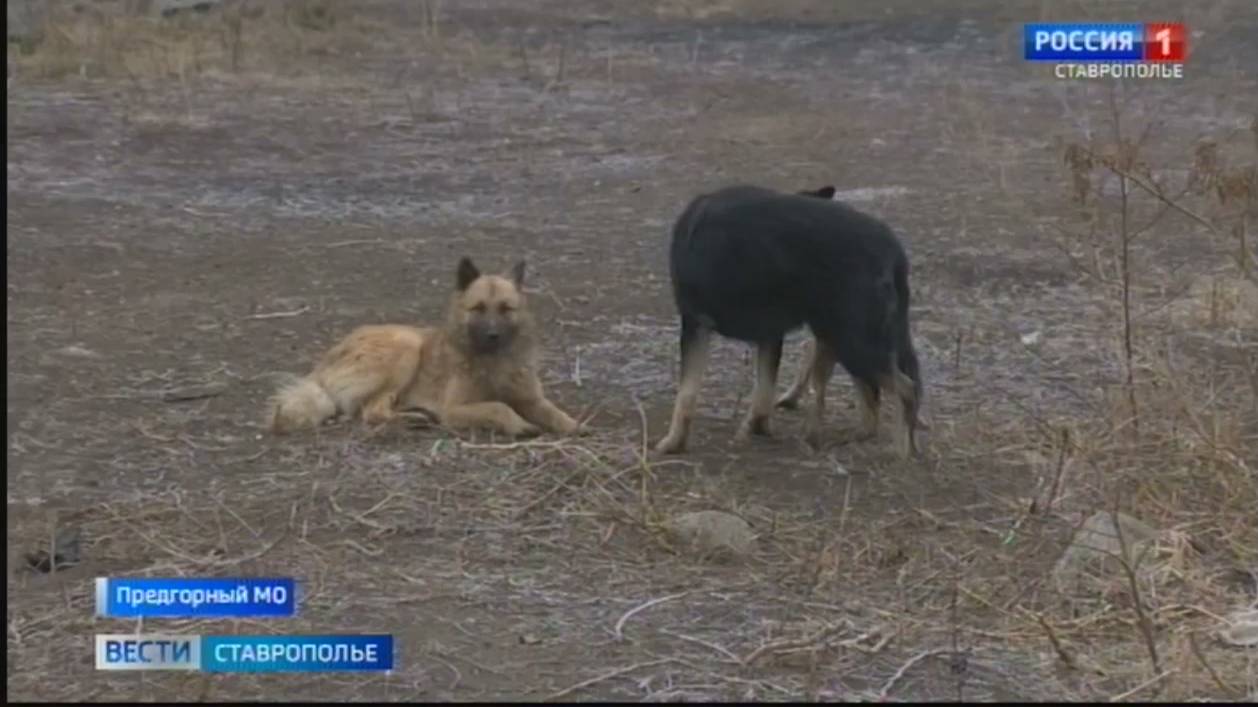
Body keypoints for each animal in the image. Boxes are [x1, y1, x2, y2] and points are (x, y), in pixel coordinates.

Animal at [269, 255, 578, 437]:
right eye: (478, 308)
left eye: (505, 309)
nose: (492, 335)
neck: (495, 361)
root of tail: (325, 362)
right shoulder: (455, 409)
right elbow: (498, 407)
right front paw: (521, 425)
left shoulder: (531, 399)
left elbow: (552, 411)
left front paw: (571, 425)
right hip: (407, 347)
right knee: (373, 412)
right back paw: (414, 420)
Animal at [654, 184, 920, 452]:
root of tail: (893, 250)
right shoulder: (770, 336)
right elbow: (763, 394)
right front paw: (757, 428)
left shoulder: (695, 324)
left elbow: (686, 395)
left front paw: (673, 442)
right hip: (843, 339)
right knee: (872, 403)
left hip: (853, 343)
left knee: (905, 390)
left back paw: (900, 451)